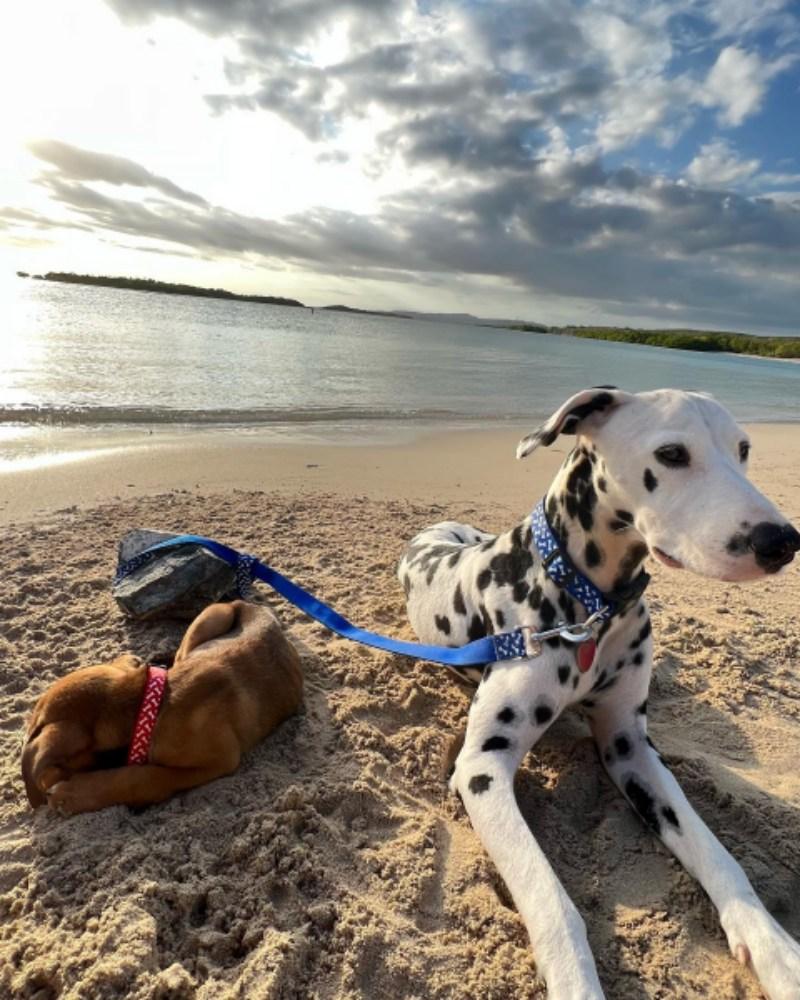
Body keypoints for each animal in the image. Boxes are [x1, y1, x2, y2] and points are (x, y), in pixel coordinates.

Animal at [22, 600, 304, 812]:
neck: (149, 709)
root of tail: (249, 603)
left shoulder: (221, 759)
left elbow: (144, 776)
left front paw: (72, 794)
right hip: (210, 617)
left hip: (216, 612)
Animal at [400, 388, 800, 1000]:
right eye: (672, 453)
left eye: (743, 449)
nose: (781, 541)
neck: (591, 606)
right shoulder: (482, 768)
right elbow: (551, 900)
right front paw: (576, 982)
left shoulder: (631, 748)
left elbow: (720, 857)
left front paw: (777, 951)